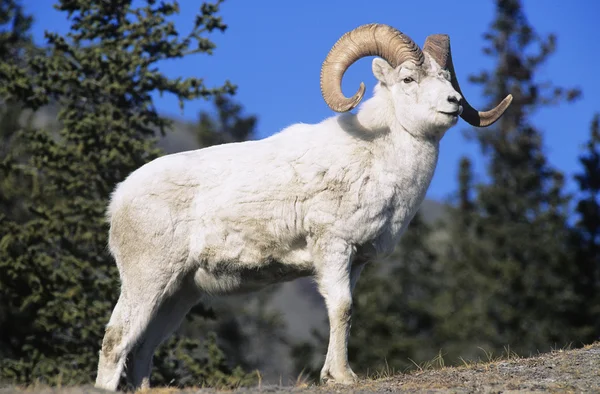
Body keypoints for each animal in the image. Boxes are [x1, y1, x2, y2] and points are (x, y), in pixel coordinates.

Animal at [92, 23, 510, 390]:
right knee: (116, 341)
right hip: (148, 279)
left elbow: (344, 312)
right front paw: (343, 376)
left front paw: (330, 375)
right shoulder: (334, 248)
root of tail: (119, 199)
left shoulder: (355, 261)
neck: (376, 156)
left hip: (178, 294)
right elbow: (341, 308)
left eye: (446, 77)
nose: (454, 104)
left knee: (142, 349)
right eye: (408, 79)